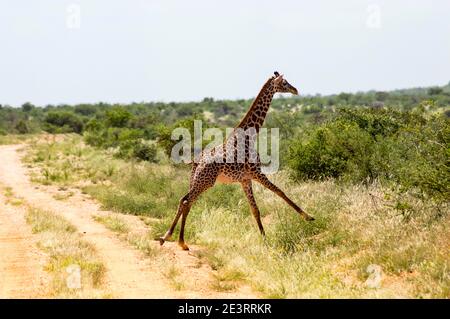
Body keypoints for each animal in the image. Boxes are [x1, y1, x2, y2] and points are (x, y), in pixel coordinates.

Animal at [160, 71, 314, 251]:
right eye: (284, 82)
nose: (295, 90)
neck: (250, 136)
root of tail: (197, 162)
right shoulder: (256, 173)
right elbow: (280, 191)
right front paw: (308, 217)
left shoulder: (245, 179)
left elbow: (255, 209)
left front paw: (265, 240)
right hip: (206, 182)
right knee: (186, 201)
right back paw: (180, 241)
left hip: (196, 180)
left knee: (183, 200)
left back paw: (167, 237)